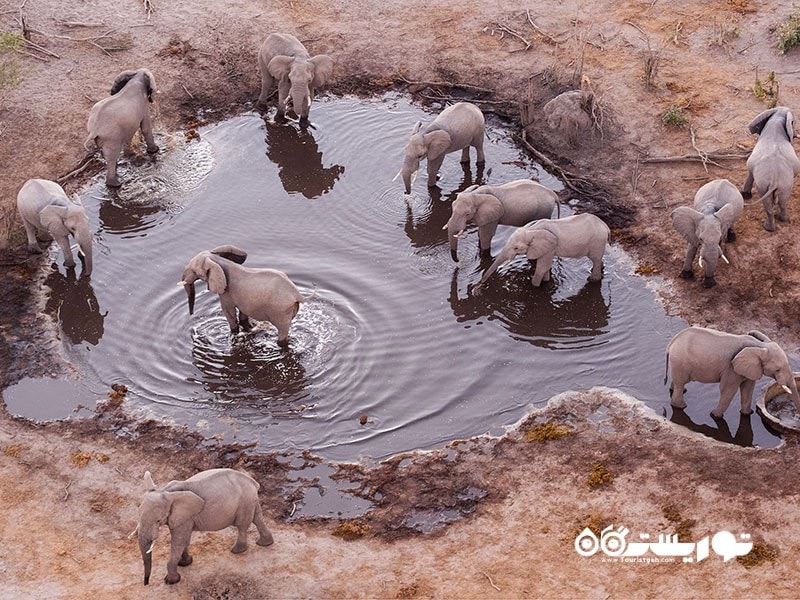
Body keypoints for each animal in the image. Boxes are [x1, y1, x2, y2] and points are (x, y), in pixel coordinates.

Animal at [134, 468, 276, 584]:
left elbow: (179, 541)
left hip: (245, 501)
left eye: (158, 520)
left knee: (242, 525)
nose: (146, 583)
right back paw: (265, 543)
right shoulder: (185, 517)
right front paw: (185, 563)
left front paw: (171, 581)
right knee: (257, 518)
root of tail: (253, 482)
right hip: (250, 500)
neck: (165, 491)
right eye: (138, 514)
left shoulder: (184, 516)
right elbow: (184, 539)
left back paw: (237, 550)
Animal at [478, 214, 608, 290]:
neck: (531, 230)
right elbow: (545, 267)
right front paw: (546, 282)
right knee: (597, 260)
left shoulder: (550, 247)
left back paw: (592, 280)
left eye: (516, 248)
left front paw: (536, 286)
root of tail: (605, 226)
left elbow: (542, 268)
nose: (480, 285)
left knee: (595, 259)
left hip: (597, 241)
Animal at [664, 326, 800, 420]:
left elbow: (748, 389)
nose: (796, 416)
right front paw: (715, 416)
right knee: (680, 383)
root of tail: (671, 343)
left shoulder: (750, 369)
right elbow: (728, 390)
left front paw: (747, 414)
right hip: (680, 362)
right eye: (777, 369)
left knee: (678, 383)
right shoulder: (731, 368)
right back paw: (681, 406)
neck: (760, 345)